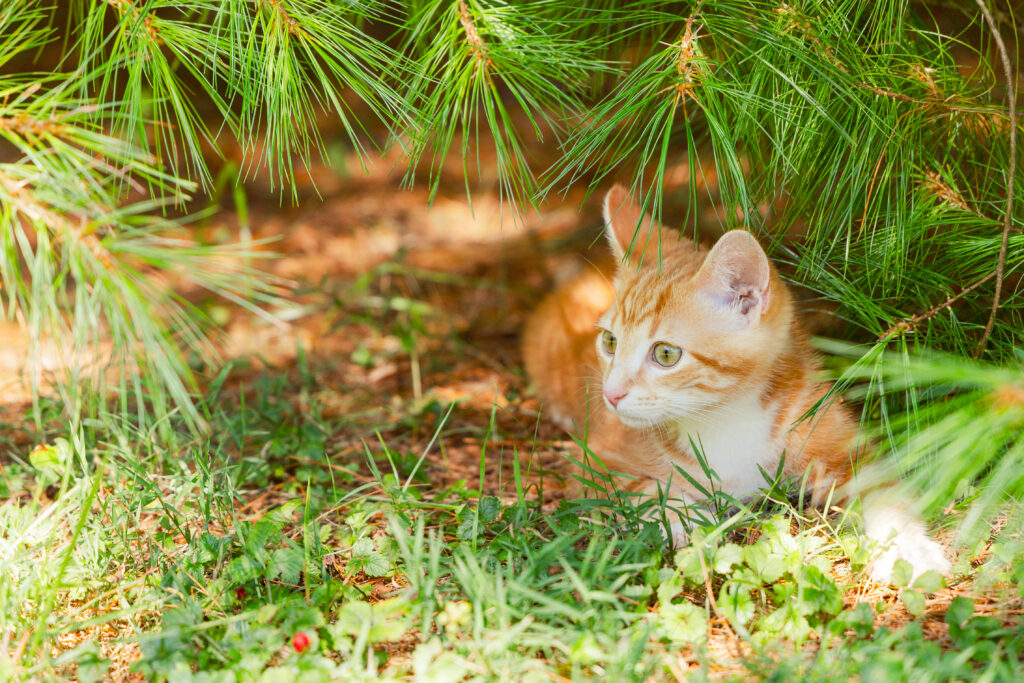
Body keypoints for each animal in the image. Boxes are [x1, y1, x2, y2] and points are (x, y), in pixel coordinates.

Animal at [528, 187, 950, 581]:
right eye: (610, 342)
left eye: (665, 354)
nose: (611, 395)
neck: (725, 417)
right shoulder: (594, 461)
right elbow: (645, 492)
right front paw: (685, 522)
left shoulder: (843, 443)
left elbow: (886, 494)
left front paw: (907, 548)